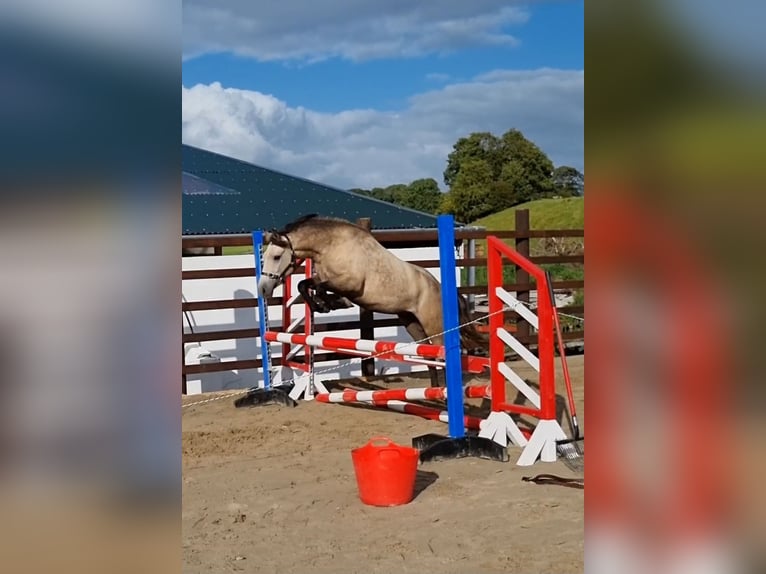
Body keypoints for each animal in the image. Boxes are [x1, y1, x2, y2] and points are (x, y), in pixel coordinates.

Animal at [258, 217, 486, 392]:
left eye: (276, 257)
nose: (263, 290)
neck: (331, 246)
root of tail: (438, 287)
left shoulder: (349, 283)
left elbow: (316, 286)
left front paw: (327, 303)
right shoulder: (328, 280)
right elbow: (304, 285)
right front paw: (322, 305)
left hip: (434, 326)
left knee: (441, 355)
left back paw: (446, 394)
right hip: (413, 324)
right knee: (427, 356)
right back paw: (435, 390)